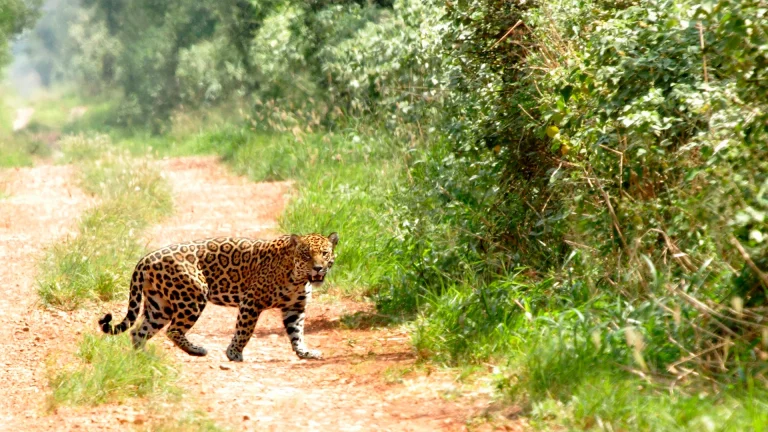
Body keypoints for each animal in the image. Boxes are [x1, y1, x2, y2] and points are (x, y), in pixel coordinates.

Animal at [98, 232, 338, 362]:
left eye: (325, 253)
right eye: (306, 255)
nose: (318, 268)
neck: (297, 277)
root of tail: (146, 258)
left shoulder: (295, 308)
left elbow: (297, 333)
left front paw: (305, 353)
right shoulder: (251, 300)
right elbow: (244, 330)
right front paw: (234, 353)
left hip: (159, 305)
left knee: (139, 331)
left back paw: (144, 358)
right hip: (193, 296)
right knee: (173, 330)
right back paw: (196, 350)